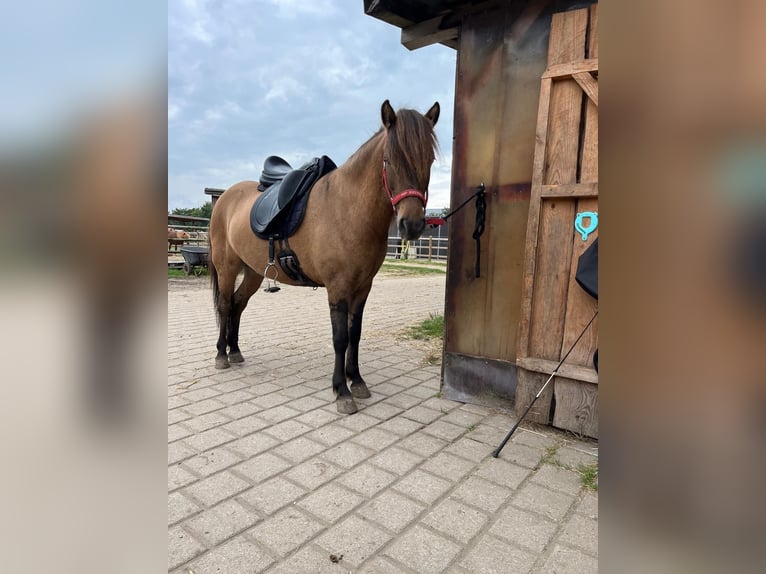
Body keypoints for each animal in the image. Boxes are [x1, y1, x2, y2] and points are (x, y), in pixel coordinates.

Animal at [210, 99, 440, 414]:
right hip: (227, 267)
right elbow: (340, 338)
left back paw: (235, 351)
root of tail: (224, 197)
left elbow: (355, 335)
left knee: (238, 304)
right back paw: (221, 355)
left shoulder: (362, 288)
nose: (412, 225)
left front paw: (357, 380)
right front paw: (342, 391)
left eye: (429, 161)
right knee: (224, 305)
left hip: (254, 272)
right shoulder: (338, 288)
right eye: (388, 161)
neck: (348, 208)